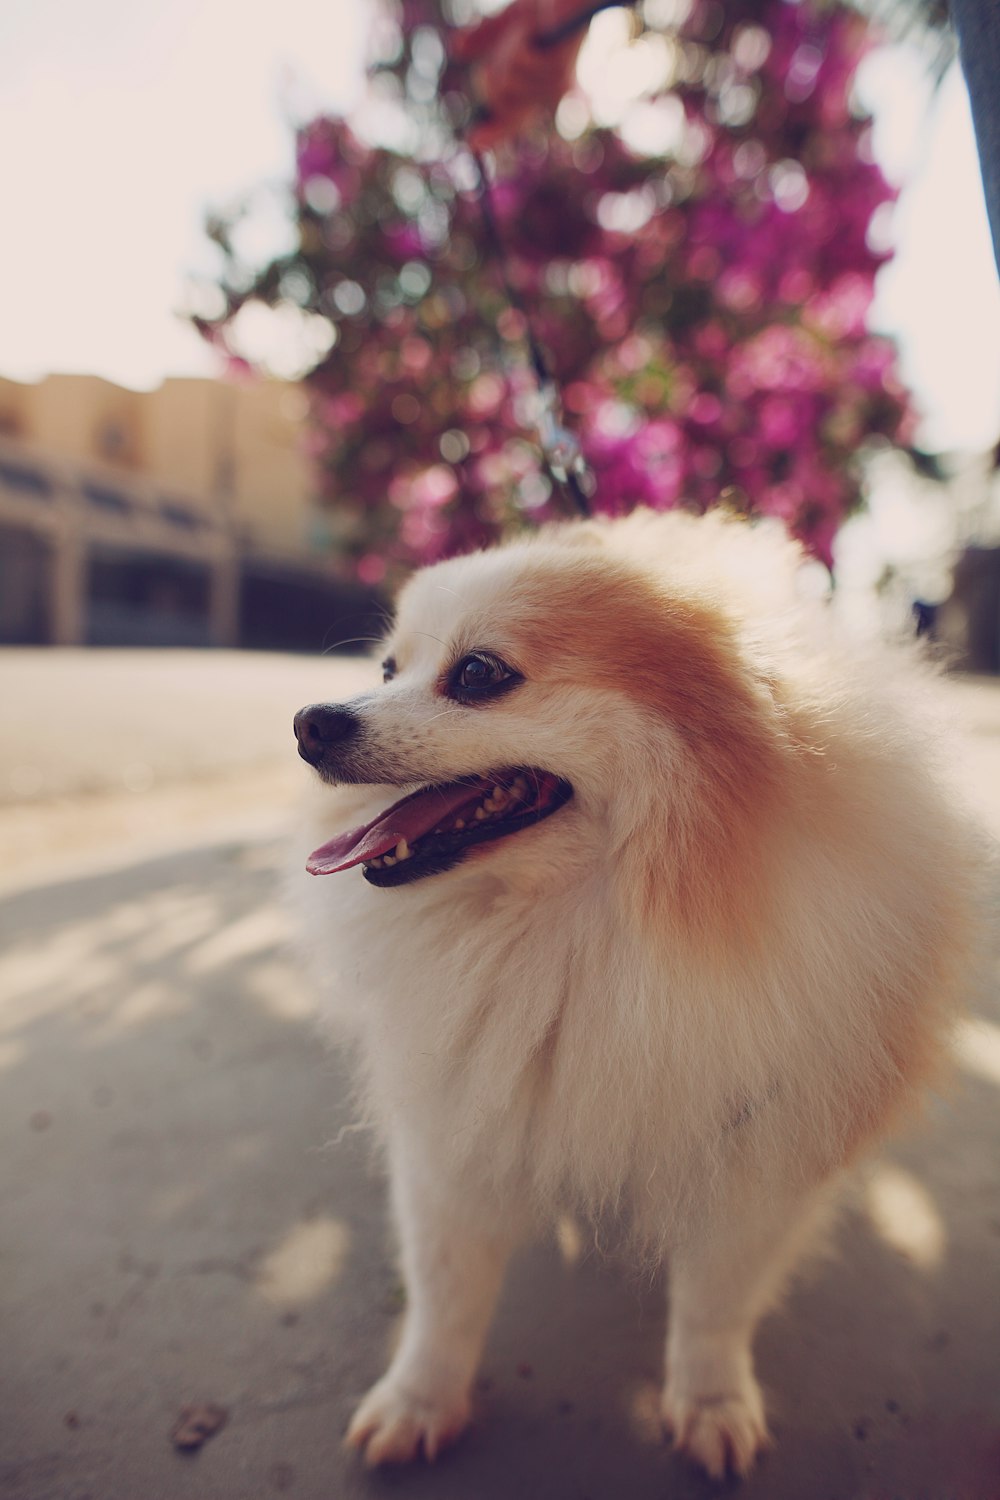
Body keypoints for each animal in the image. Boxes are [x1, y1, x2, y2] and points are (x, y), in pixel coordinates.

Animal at [293, 513, 983, 1476]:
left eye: (478, 674)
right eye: (389, 669)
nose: (311, 721)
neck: (590, 931)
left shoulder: (763, 1146)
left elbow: (715, 1303)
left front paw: (711, 1400)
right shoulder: (461, 1117)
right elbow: (445, 1291)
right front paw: (420, 1399)